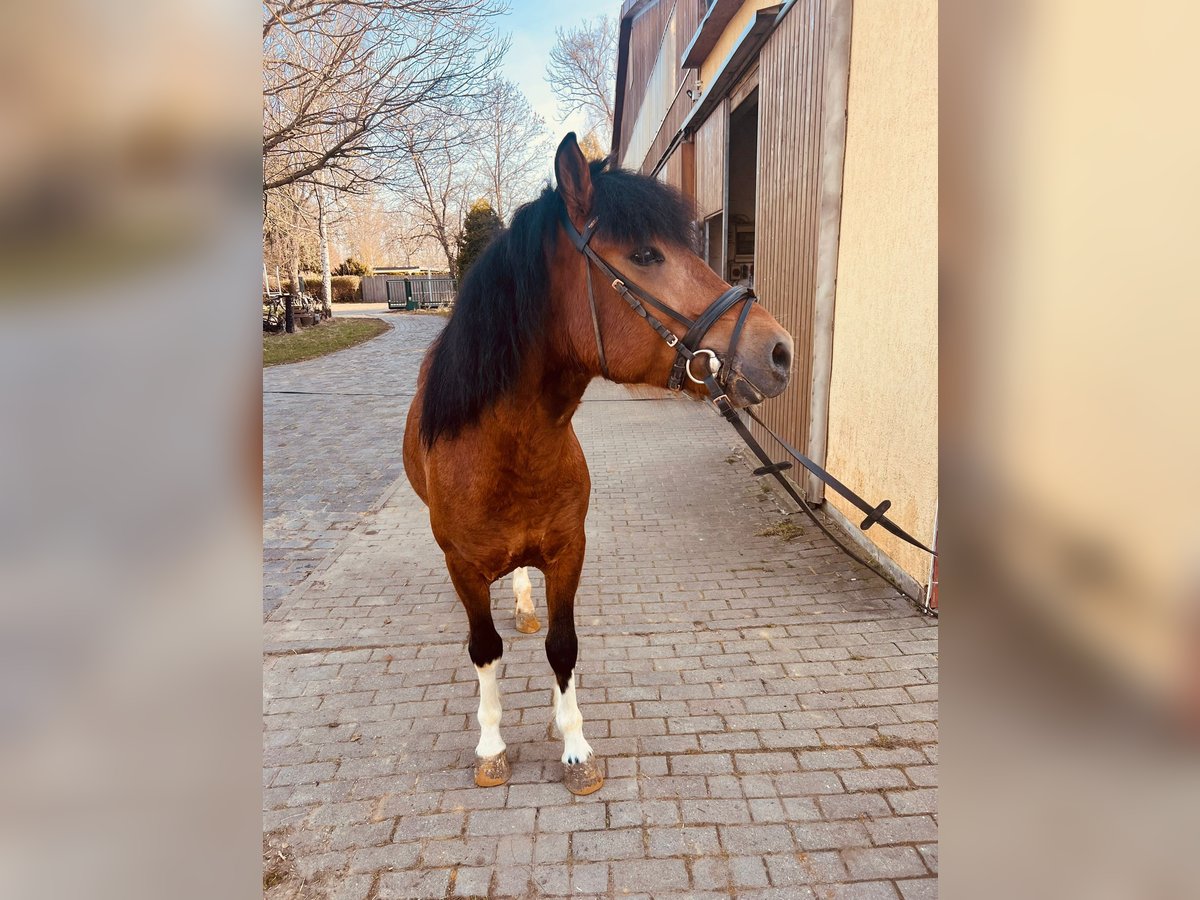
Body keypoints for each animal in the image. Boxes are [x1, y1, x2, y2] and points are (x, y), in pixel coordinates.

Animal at [402, 133, 793, 795]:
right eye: (645, 254)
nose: (780, 352)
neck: (506, 453)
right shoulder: (463, 567)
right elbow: (484, 649)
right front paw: (491, 746)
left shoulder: (568, 551)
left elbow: (563, 647)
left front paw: (575, 747)